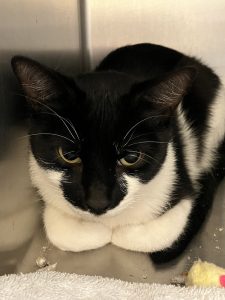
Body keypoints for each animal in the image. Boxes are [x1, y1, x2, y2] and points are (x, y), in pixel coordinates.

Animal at [11, 43, 225, 264]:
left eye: (131, 158)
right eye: (68, 155)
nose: (98, 203)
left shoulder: (177, 182)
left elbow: (152, 234)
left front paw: (115, 233)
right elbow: (60, 230)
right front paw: (97, 232)